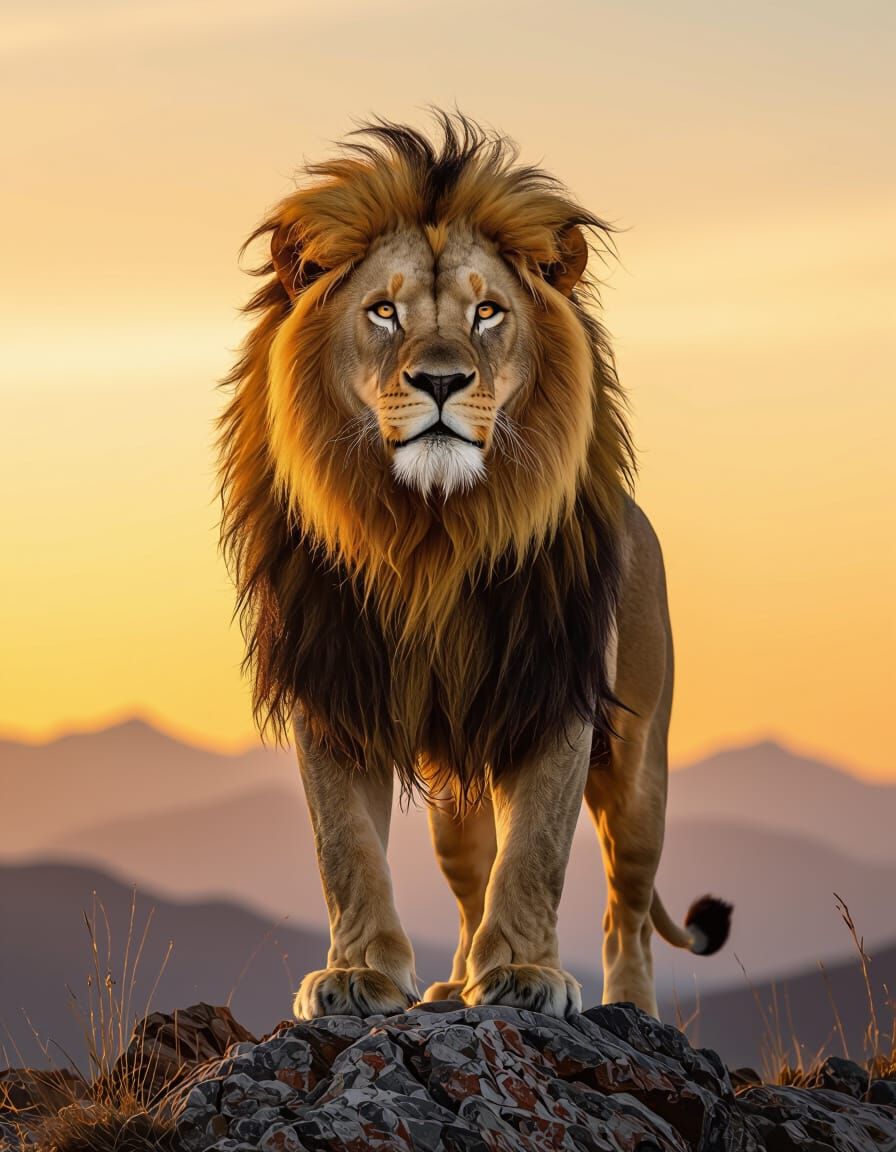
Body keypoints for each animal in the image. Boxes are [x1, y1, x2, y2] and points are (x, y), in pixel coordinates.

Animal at [219, 113, 731, 1021]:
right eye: (383, 311)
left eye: (488, 311)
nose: (441, 380)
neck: (432, 533)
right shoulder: (333, 685)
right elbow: (345, 847)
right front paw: (361, 975)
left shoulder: (554, 690)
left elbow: (535, 853)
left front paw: (525, 974)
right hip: (454, 793)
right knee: (469, 877)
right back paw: (455, 982)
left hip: (639, 770)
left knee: (628, 908)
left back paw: (631, 1008)